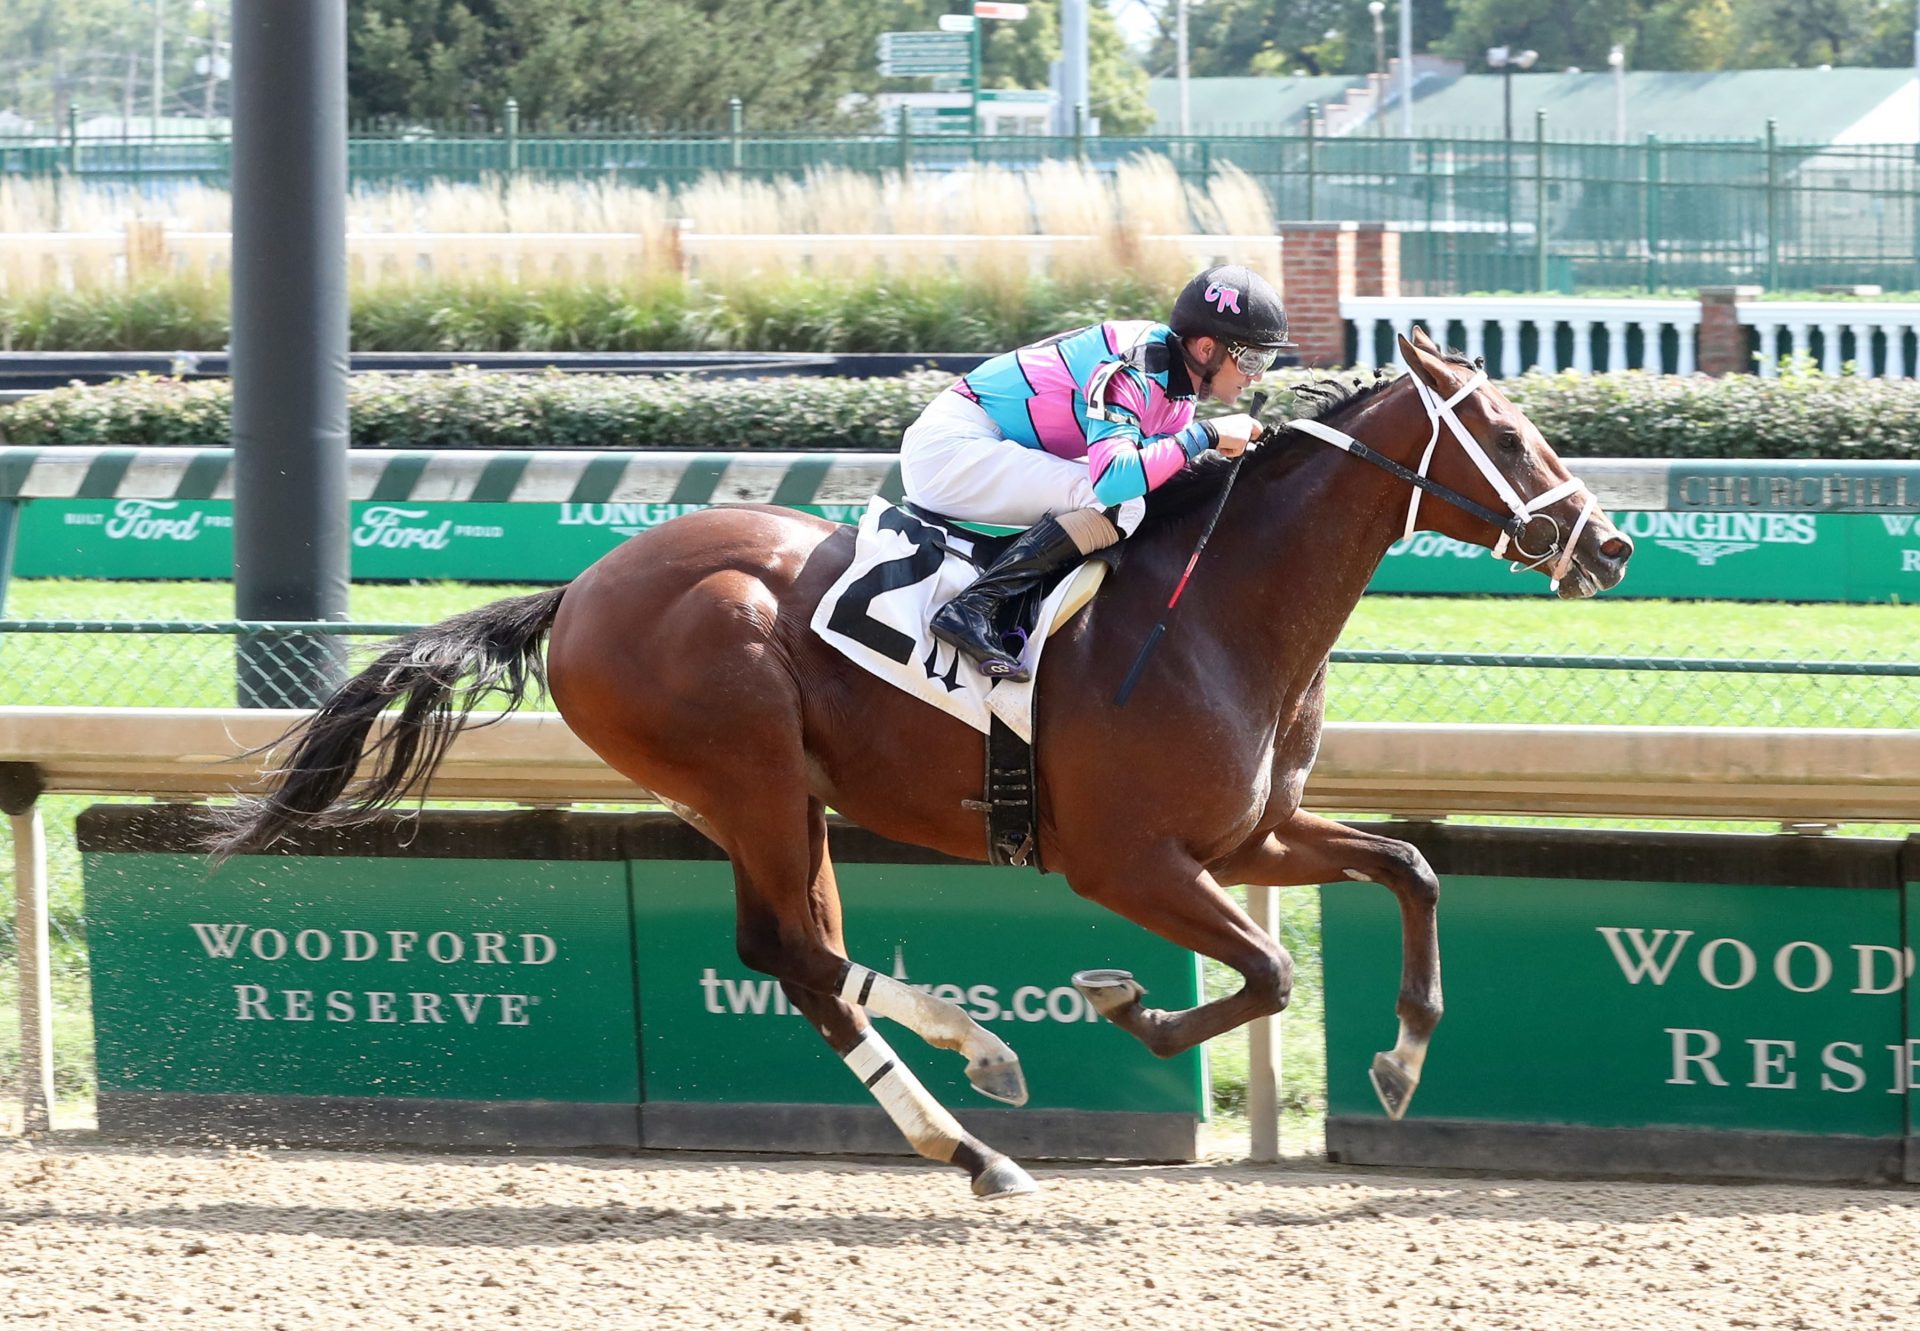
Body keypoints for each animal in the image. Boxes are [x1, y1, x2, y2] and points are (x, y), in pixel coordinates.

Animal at [214, 330, 1635, 1190]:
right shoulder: (1126, 859)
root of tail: (580, 588)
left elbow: (1408, 866)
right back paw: (982, 1068)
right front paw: (1127, 1002)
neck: (1218, 610)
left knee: (798, 958)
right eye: (1510, 435)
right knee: (798, 952)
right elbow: (1272, 970)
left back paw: (971, 1134)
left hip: (768, 799)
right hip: (749, 771)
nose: (1611, 545)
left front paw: (1399, 1058)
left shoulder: (1249, 834)